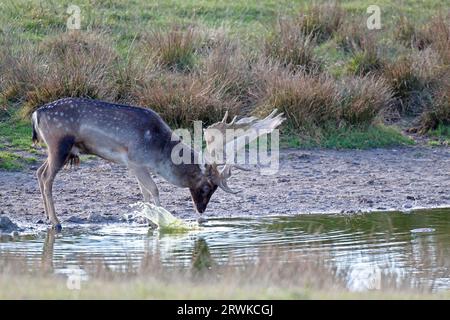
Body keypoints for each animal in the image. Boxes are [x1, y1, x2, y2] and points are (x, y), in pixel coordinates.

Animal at [32, 97, 284, 230]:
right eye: (206, 187)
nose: (201, 210)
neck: (159, 150)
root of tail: (36, 114)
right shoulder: (134, 159)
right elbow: (153, 190)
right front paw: (163, 222)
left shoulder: (135, 166)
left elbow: (144, 193)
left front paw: (148, 220)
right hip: (59, 145)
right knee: (46, 177)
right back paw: (56, 222)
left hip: (55, 150)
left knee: (39, 172)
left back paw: (47, 218)